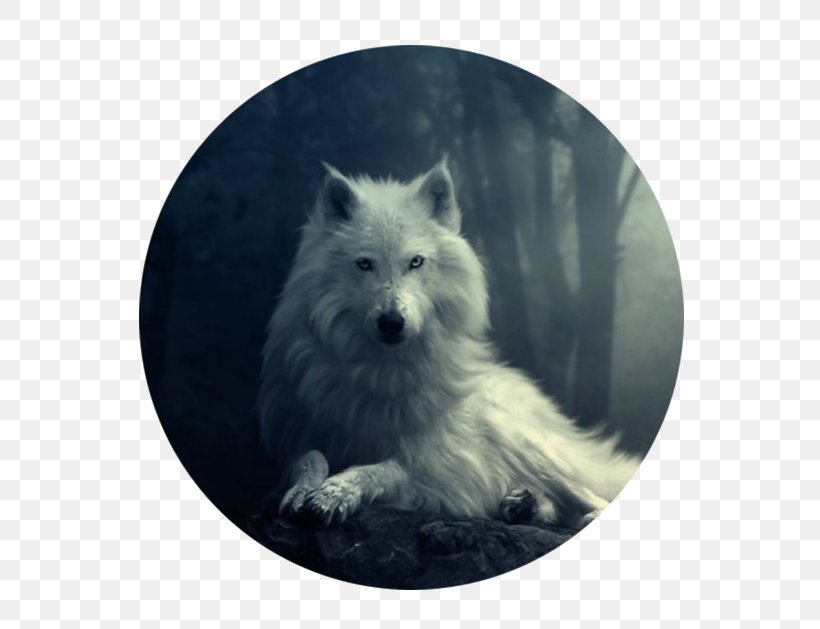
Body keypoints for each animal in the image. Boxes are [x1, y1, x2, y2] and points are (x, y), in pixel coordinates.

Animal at [257, 159, 640, 529]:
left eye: (416, 262)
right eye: (364, 264)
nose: (391, 323)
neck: (382, 371)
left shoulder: (427, 467)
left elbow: (379, 470)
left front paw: (334, 493)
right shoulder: (297, 437)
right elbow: (310, 459)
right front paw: (301, 492)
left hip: (521, 441)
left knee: (588, 496)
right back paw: (521, 504)